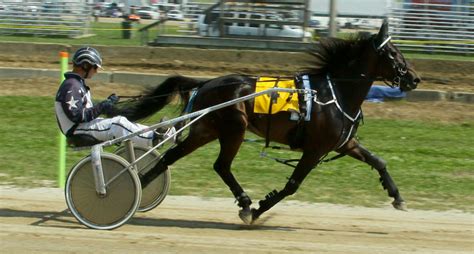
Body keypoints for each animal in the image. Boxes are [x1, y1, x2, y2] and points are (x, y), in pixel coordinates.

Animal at [115, 21, 422, 224]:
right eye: (393, 54)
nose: (414, 78)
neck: (333, 93)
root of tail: (207, 83)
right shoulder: (315, 149)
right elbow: (292, 185)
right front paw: (260, 209)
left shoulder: (343, 143)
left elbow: (378, 161)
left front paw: (397, 197)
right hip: (233, 128)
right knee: (221, 165)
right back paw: (245, 203)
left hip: (206, 129)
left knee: (172, 157)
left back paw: (139, 185)